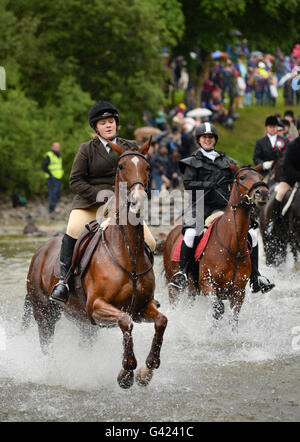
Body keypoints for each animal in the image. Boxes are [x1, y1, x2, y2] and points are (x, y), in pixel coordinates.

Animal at [24, 138, 168, 386]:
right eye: (121, 167)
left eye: (148, 167)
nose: (138, 200)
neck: (127, 251)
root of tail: (39, 253)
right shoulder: (97, 306)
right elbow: (125, 321)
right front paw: (126, 372)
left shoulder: (142, 306)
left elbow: (161, 321)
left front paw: (147, 370)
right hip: (45, 313)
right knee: (46, 344)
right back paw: (54, 373)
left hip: (81, 321)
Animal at [163, 164, 268, 326]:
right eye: (242, 177)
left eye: (261, 177)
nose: (262, 192)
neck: (232, 245)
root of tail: (171, 233)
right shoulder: (208, 284)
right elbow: (218, 309)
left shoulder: (238, 292)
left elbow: (233, 318)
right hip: (174, 287)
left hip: (192, 289)